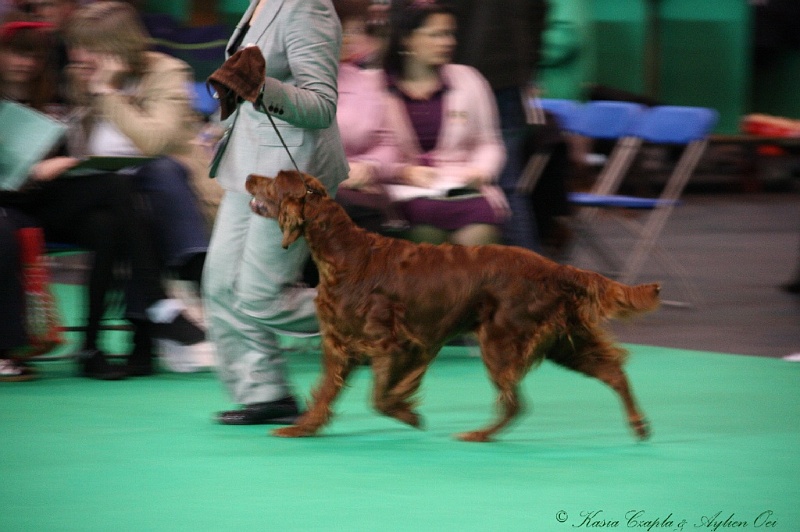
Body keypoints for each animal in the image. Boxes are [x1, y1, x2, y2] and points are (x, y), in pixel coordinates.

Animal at [247, 170, 660, 440]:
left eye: (272, 180)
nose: (249, 176)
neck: (346, 253)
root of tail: (556, 267)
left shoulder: (393, 343)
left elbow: (380, 397)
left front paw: (409, 415)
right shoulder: (340, 345)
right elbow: (325, 393)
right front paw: (302, 428)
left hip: (500, 339)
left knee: (516, 402)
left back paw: (479, 434)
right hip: (563, 341)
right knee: (613, 373)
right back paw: (639, 425)